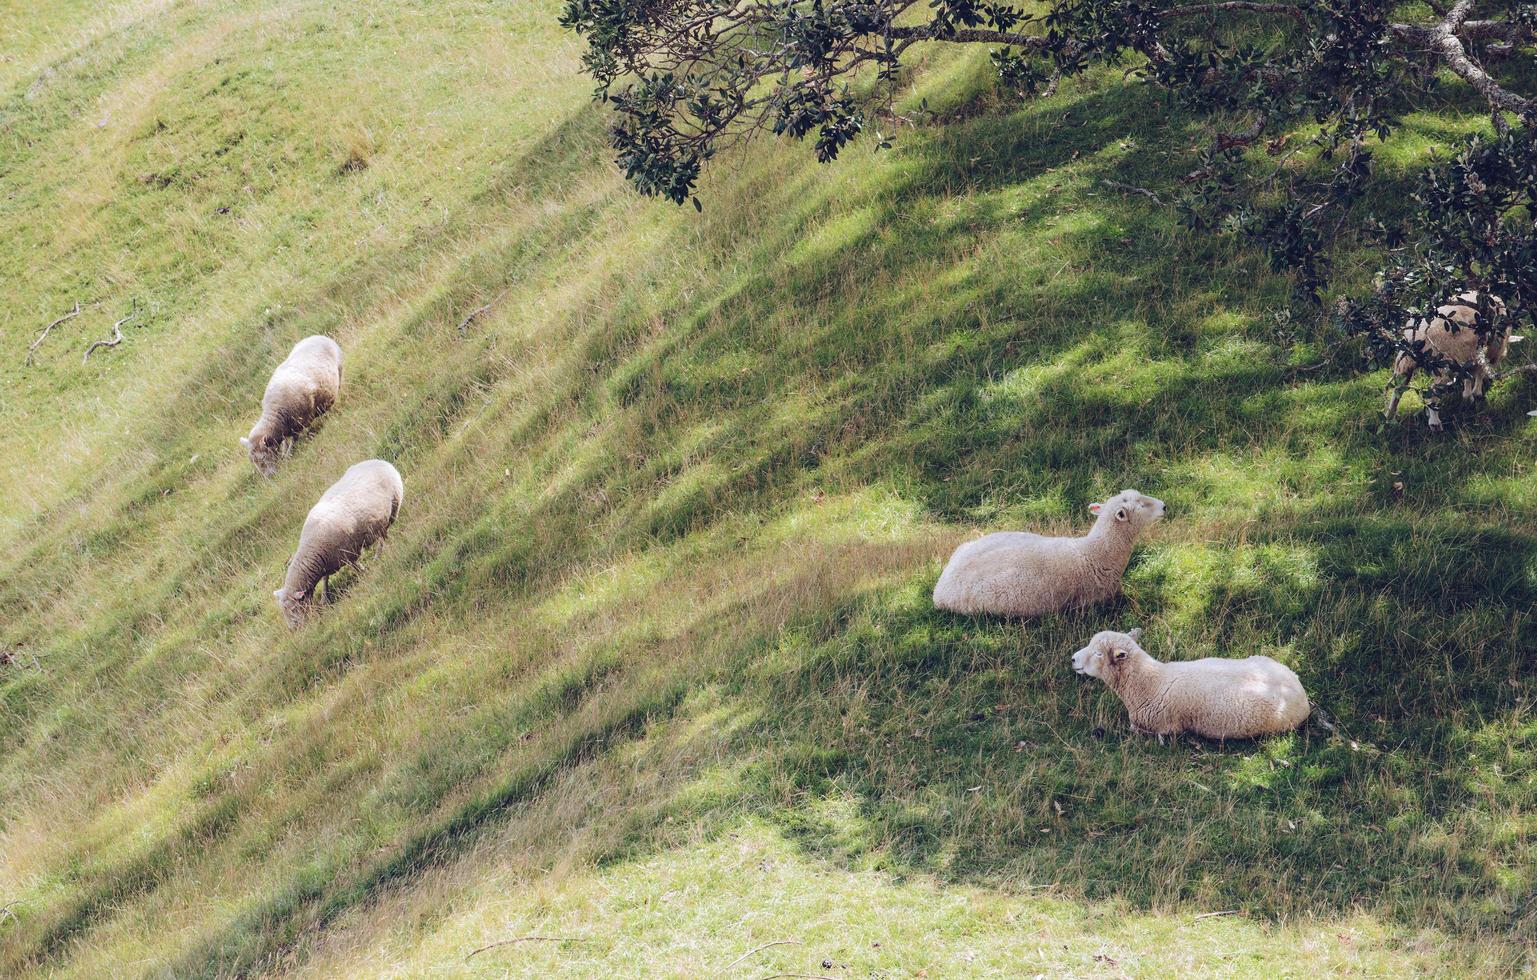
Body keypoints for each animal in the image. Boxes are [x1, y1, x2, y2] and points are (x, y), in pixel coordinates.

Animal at [239, 336, 342, 479]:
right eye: (253, 461)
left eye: (264, 458)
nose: (268, 478)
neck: (275, 414)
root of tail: (319, 336)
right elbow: (285, 442)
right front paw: (284, 452)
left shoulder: (298, 423)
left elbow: (293, 440)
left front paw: (288, 455)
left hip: (340, 371)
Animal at [275, 460, 402, 629]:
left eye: (294, 608)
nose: (294, 629)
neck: (311, 549)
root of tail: (379, 461)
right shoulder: (328, 561)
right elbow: (325, 580)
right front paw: (325, 598)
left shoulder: (347, 552)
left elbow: (355, 565)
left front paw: (364, 572)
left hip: (393, 506)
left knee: (384, 536)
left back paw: (379, 554)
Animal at [1383, 291, 1524, 430]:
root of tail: (1419, 334)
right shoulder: (1484, 352)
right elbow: (1479, 372)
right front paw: (1476, 393)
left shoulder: (1467, 354)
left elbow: (1468, 375)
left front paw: (1468, 396)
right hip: (1443, 364)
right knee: (1433, 391)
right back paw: (1435, 423)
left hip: (1405, 361)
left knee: (1398, 389)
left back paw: (1388, 417)